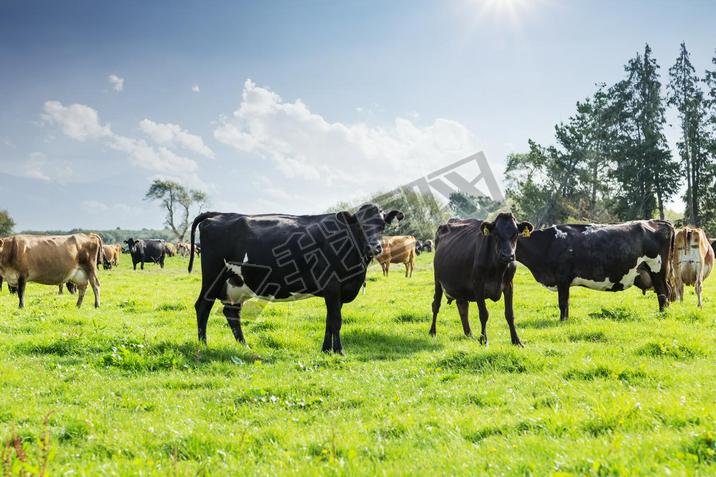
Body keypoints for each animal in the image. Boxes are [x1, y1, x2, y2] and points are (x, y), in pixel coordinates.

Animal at [187, 203, 402, 352]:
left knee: (231, 312)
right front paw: (339, 351)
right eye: (359, 225)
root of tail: (219, 214)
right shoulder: (333, 287)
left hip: (236, 283)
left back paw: (245, 346)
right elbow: (336, 320)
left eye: (382, 225)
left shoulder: (338, 292)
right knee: (203, 306)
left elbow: (329, 320)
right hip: (213, 275)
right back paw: (203, 345)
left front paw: (326, 350)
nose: (374, 247)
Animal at [428, 214, 536, 344]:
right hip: (437, 280)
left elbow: (510, 314)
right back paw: (432, 332)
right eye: (496, 234)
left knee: (462, 306)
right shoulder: (478, 285)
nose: (507, 256)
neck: (498, 269)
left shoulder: (509, 284)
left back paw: (469, 334)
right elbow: (483, 314)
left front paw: (516, 340)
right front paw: (484, 340)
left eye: (515, 234)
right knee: (436, 305)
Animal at [512, 220, 676, 320]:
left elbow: (563, 303)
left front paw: (562, 321)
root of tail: (657, 221)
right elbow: (566, 303)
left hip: (657, 270)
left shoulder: (563, 278)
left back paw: (662, 314)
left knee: (663, 293)